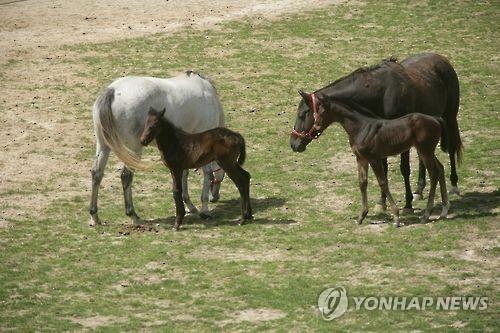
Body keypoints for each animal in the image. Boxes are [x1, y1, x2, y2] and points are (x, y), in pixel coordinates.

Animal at [89, 71, 225, 224]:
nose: (215, 197)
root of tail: (112, 91)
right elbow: (207, 173)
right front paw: (205, 209)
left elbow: (184, 174)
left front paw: (191, 206)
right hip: (133, 150)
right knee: (126, 176)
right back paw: (133, 215)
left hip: (103, 146)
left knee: (97, 174)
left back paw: (94, 216)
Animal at [292, 52, 462, 213]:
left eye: (303, 114)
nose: (293, 143)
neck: (381, 91)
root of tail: (442, 60)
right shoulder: (381, 137)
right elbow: (383, 170)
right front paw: (382, 202)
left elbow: (404, 169)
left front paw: (407, 204)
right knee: (423, 159)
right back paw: (419, 190)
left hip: (449, 117)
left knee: (451, 148)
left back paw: (454, 185)